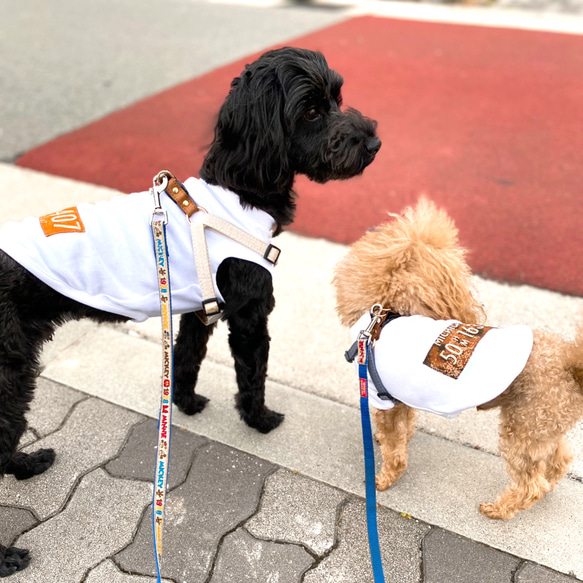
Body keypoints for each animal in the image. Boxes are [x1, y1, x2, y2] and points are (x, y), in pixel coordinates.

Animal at [0, 48, 378, 576]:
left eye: (337, 98)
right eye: (309, 111)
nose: (374, 142)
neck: (237, 193)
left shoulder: (197, 310)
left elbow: (186, 359)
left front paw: (184, 403)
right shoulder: (250, 314)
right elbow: (252, 372)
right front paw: (260, 419)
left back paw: (27, 464)